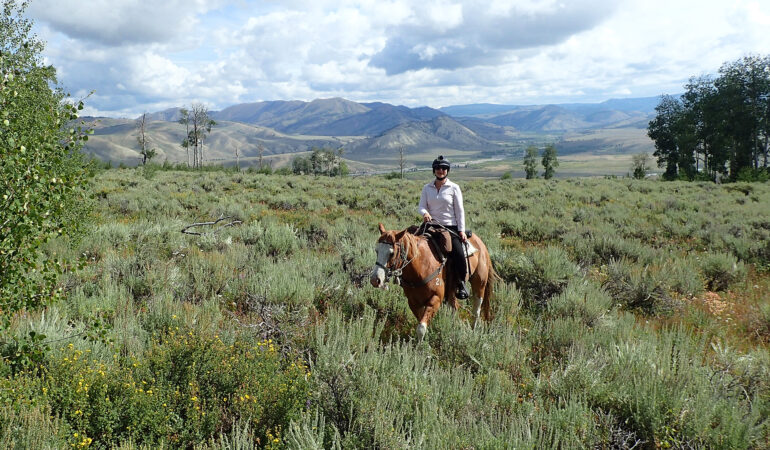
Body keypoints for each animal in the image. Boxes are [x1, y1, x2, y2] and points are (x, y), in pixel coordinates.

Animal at [370, 221, 498, 342]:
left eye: (391, 253)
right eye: (376, 250)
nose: (375, 280)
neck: (421, 266)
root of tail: (481, 244)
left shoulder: (436, 299)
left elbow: (421, 328)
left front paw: (419, 347)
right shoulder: (413, 302)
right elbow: (421, 321)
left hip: (479, 283)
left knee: (476, 310)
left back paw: (472, 331)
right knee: (454, 308)